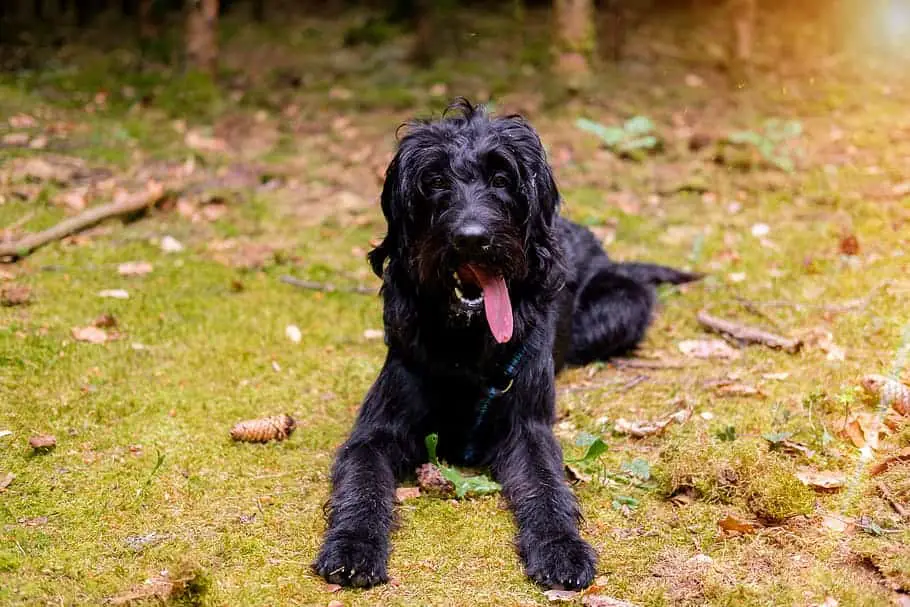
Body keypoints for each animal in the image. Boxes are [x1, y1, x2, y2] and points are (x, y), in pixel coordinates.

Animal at [314, 100, 700, 588]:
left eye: (502, 179)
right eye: (434, 181)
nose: (471, 238)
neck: (465, 342)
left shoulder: (528, 427)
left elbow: (546, 483)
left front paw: (560, 547)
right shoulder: (374, 432)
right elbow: (362, 482)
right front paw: (354, 544)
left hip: (623, 303)